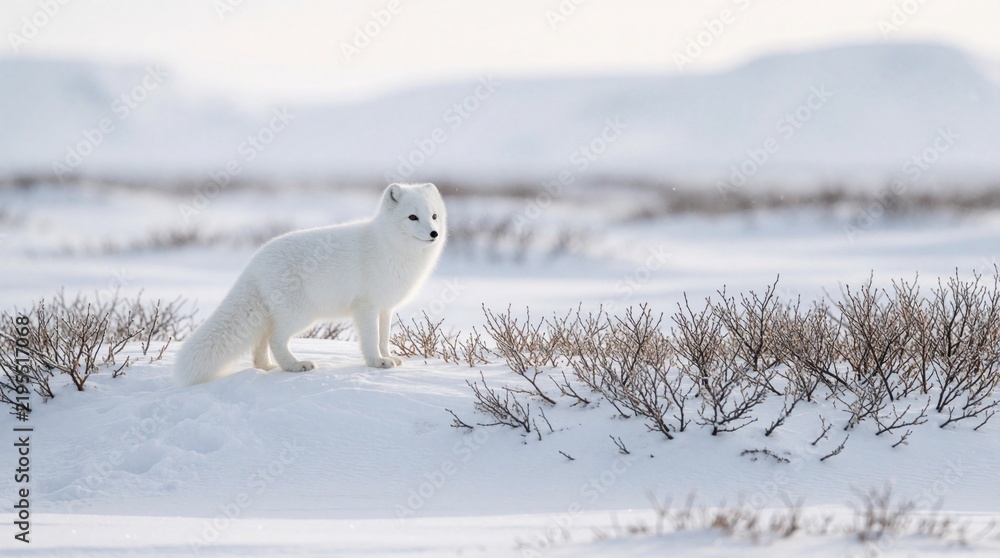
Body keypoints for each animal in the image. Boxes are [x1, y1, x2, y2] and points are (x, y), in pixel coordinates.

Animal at [174, 183, 446, 386]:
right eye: (412, 217)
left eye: (433, 216)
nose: (434, 233)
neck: (390, 247)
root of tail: (254, 263)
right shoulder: (366, 306)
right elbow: (371, 339)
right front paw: (376, 363)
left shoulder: (385, 307)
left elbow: (383, 337)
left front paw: (389, 358)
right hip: (301, 314)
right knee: (276, 339)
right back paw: (295, 365)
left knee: (261, 341)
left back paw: (266, 367)